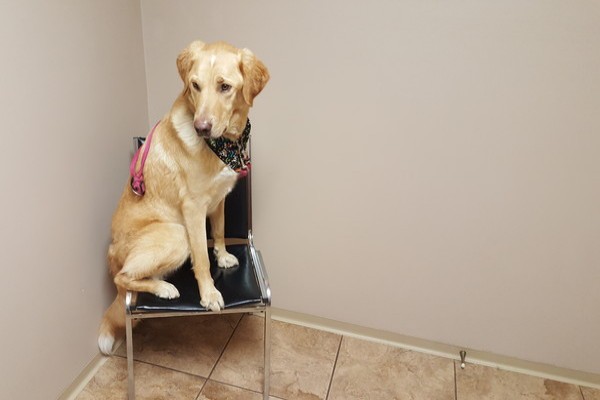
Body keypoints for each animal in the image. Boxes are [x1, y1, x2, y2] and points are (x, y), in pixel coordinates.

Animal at [98, 39, 270, 354]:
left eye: (225, 87)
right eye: (195, 85)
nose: (201, 128)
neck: (223, 145)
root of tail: (111, 254)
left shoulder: (219, 200)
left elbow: (219, 231)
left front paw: (223, 255)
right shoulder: (193, 209)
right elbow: (202, 257)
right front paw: (209, 294)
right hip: (175, 234)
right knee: (124, 277)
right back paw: (163, 288)